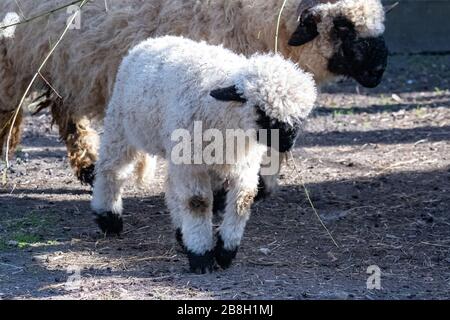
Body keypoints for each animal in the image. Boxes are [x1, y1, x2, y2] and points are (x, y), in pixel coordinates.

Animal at [0, 0, 386, 190]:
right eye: (342, 25)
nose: (380, 69)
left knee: (66, 110)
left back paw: (89, 167)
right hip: (14, 61)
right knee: (10, 114)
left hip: (61, 62)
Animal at [91, 35, 316, 272]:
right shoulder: (192, 162)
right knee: (111, 170)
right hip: (121, 125)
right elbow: (197, 202)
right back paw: (109, 219)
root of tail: (156, 39)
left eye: (300, 116)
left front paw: (225, 251)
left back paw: (181, 233)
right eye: (261, 111)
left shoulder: (244, 164)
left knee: (171, 187)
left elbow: (242, 200)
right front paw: (201, 257)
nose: (287, 143)